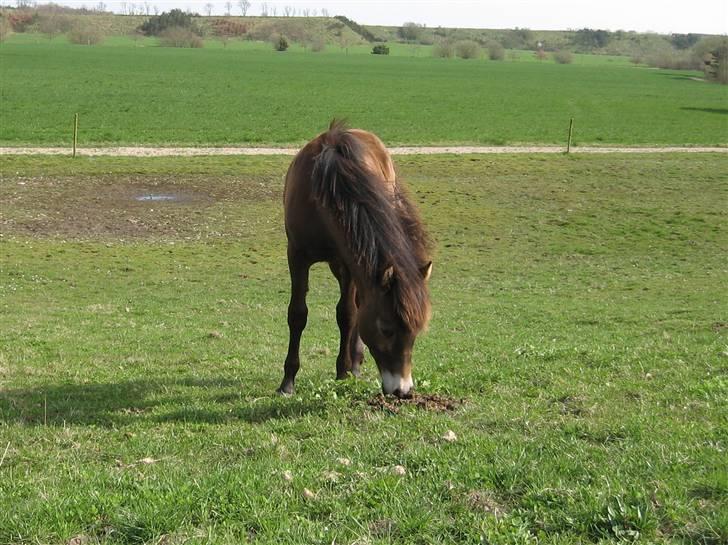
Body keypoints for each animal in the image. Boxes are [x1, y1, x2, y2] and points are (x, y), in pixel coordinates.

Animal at [280, 121, 432, 398]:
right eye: (386, 329)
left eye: (416, 331)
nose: (403, 390)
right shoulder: (296, 255)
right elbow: (297, 314)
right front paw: (287, 381)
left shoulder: (350, 260)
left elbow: (348, 315)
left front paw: (343, 371)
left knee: (356, 304)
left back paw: (355, 364)